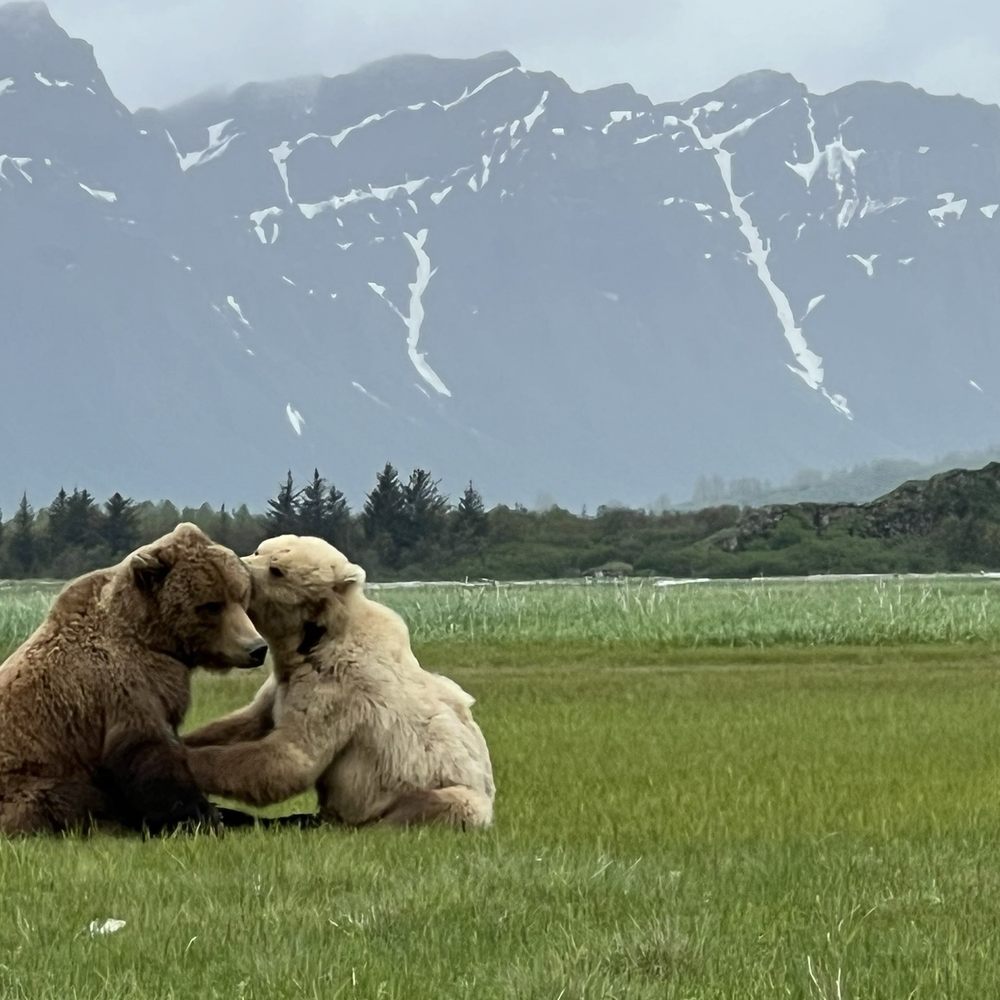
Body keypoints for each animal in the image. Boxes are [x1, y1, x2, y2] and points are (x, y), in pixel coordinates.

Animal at [0, 522, 268, 836]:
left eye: (241, 596)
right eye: (212, 605)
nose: (256, 648)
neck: (150, 637)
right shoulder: (125, 685)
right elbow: (148, 751)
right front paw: (202, 816)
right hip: (29, 783)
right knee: (64, 799)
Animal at [184, 535, 495, 829]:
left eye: (277, 569)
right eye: (260, 550)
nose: (241, 565)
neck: (307, 643)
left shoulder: (334, 688)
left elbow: (289, 759)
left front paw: (192, 763)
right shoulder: (283, 684)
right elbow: (248, 720)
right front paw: (186, 740)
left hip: (446, 792)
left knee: (441, 805)